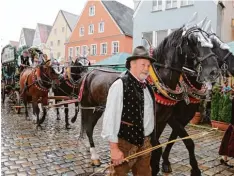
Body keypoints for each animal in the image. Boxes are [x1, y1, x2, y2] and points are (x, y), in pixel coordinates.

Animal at [71, 25, 219, 170]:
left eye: (212, 44)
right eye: (193, 40)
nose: (214, 71)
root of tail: (88, 74)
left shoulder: (164, 120)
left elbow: (167, 144)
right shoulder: (164, 120)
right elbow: (162, 147)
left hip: (98, 109)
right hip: (88, 106)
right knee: (89, 128)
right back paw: (94, 157)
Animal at [161, 31, 234, 175]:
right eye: (215, 46)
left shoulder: (183, 119)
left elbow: (173, 138)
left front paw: (165, 161)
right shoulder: (171, 118)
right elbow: (188, 142)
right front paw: (194, 168)